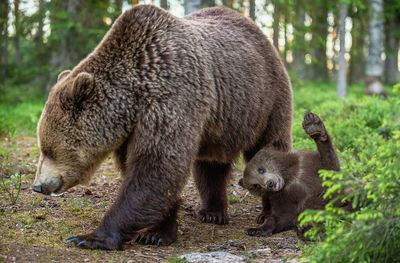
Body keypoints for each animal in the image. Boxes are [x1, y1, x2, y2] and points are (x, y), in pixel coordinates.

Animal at [32, 4, 290, 252]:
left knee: (269, 150)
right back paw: (212, 212)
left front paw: (91, 237)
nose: (38, 186)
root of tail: (258, 31)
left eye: (48, 150)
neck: (133, 100)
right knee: (210, 165)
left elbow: (156, 168)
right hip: (219, 125)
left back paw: (267, 212)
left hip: (267, 102)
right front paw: (156, 231)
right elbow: (150, 173)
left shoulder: (169, 99)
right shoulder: (133, 130)